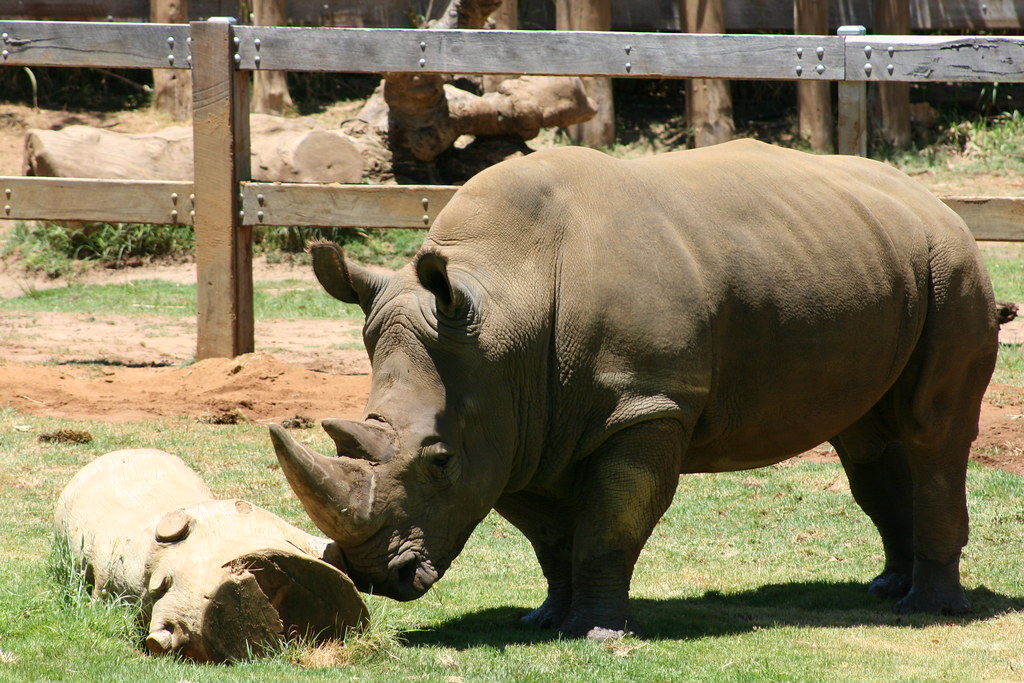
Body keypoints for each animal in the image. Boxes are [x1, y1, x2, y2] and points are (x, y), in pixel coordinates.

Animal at [269, 139, 998, 639]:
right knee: (866, 439)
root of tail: (931, 199)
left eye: (438, 460)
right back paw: (888, 588)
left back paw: (927, 608)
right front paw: (545, 620)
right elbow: (548, 535)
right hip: (867, 257)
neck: (504, 311)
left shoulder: (644, 405)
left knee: (934, 429)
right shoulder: (518, 424)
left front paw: (596, 632)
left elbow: (610, 521)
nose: (373, 576)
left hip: (952, 263)